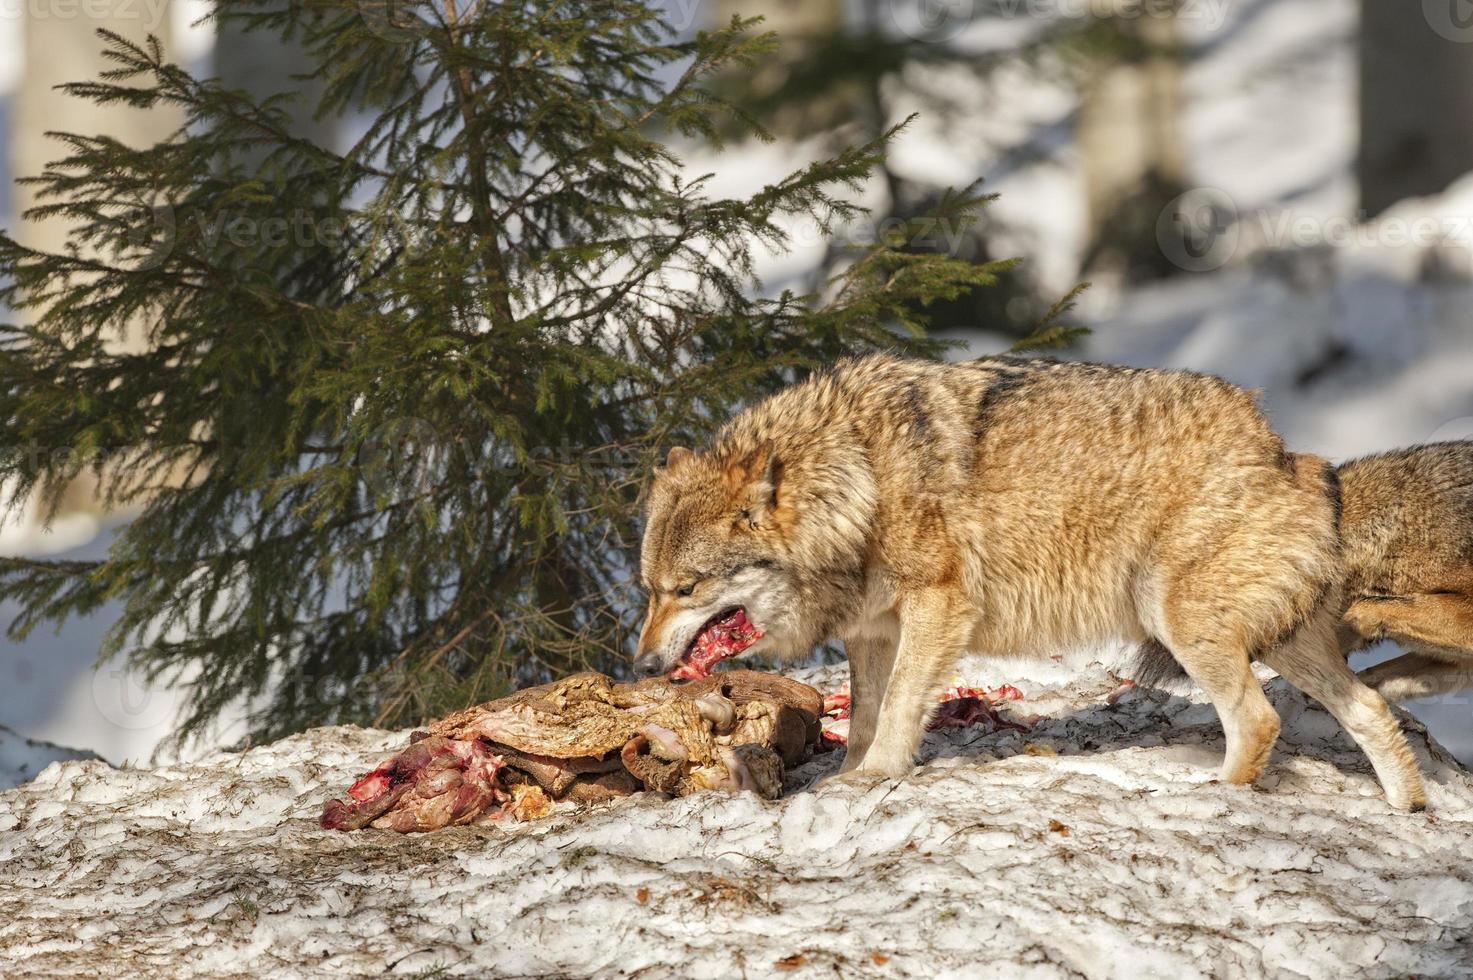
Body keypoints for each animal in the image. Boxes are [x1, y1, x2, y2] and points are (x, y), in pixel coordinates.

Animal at [636, 355, 1425, 807]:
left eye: (685, 589)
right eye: (650, 588)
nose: (641, 664)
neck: (857, 482)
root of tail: (1290, 454)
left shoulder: (936, 607)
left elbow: (898, 709)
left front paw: (875, 776)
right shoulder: (871, 633)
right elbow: (862, 717)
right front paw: (848, 775)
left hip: (1177, 618)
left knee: (1259, 720)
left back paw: (1216, 799)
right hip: (1276, 639)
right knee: (1368, 709)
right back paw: (1407, 808)